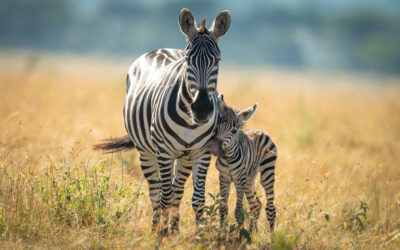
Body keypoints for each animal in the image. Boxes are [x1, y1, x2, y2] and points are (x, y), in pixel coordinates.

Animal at [94, 8, 231, 234]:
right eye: (188, 61)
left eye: (217, 60)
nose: (202, 109)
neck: (190, 122)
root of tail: (159, 49)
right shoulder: (164, 151)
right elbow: (164, 197)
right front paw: (161, 235)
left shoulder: (201, 152)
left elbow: (198, 200)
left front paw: (197, 235)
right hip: (147, 152)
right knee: (156, 192)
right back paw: (157, 227)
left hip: (183, 156)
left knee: (177, 190)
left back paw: (174, 229)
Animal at [208, 96, 276, 232]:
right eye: (217, 127)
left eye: (234, 131)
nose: (213, 148)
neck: (228, 157)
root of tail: (261, 131)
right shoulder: (223, 177)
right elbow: (222, 208)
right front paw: (221, 232)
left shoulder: (239, 179)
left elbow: (239, 212)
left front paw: (239, 235)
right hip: (250, 177)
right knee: (256, 205)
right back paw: (251, 232)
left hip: (267, 172)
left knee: (270, 208)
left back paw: (272, 236)